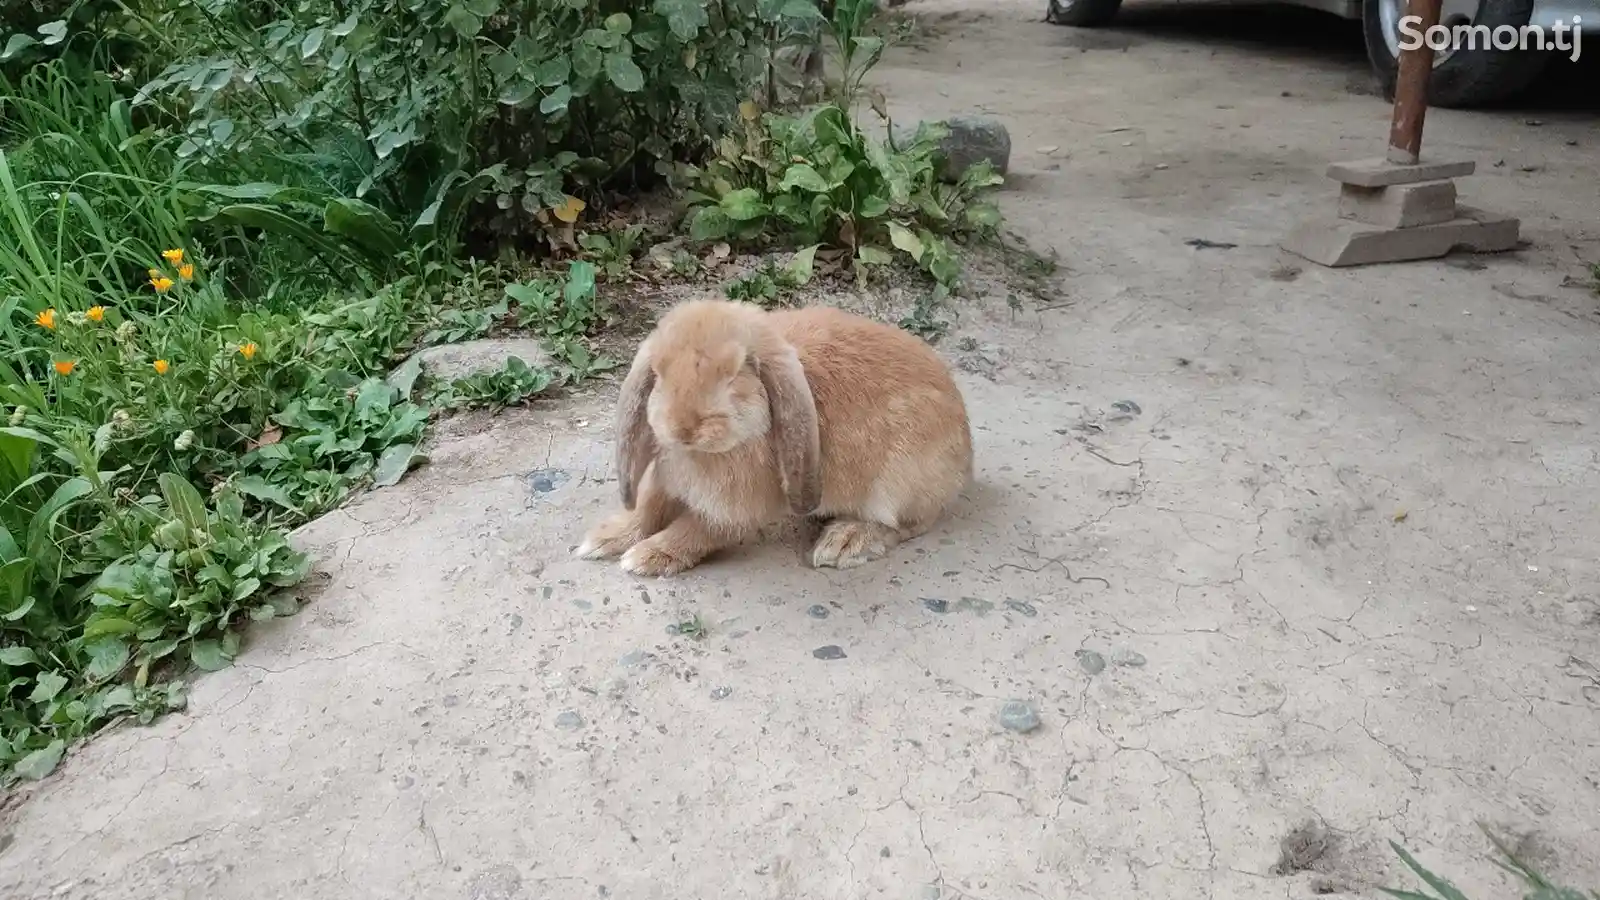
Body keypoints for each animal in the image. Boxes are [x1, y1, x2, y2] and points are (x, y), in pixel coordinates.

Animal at [579, 294, 972, 573]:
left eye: (736, 374)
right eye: (658, 373)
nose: (683, 428)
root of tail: (965, 462)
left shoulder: (732, 511)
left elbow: (694, 532)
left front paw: (645, 557)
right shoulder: (665, 480)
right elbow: (646, 510)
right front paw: (603, 540)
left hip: (896, 485)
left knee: (908, 525)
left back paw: (843, 543)